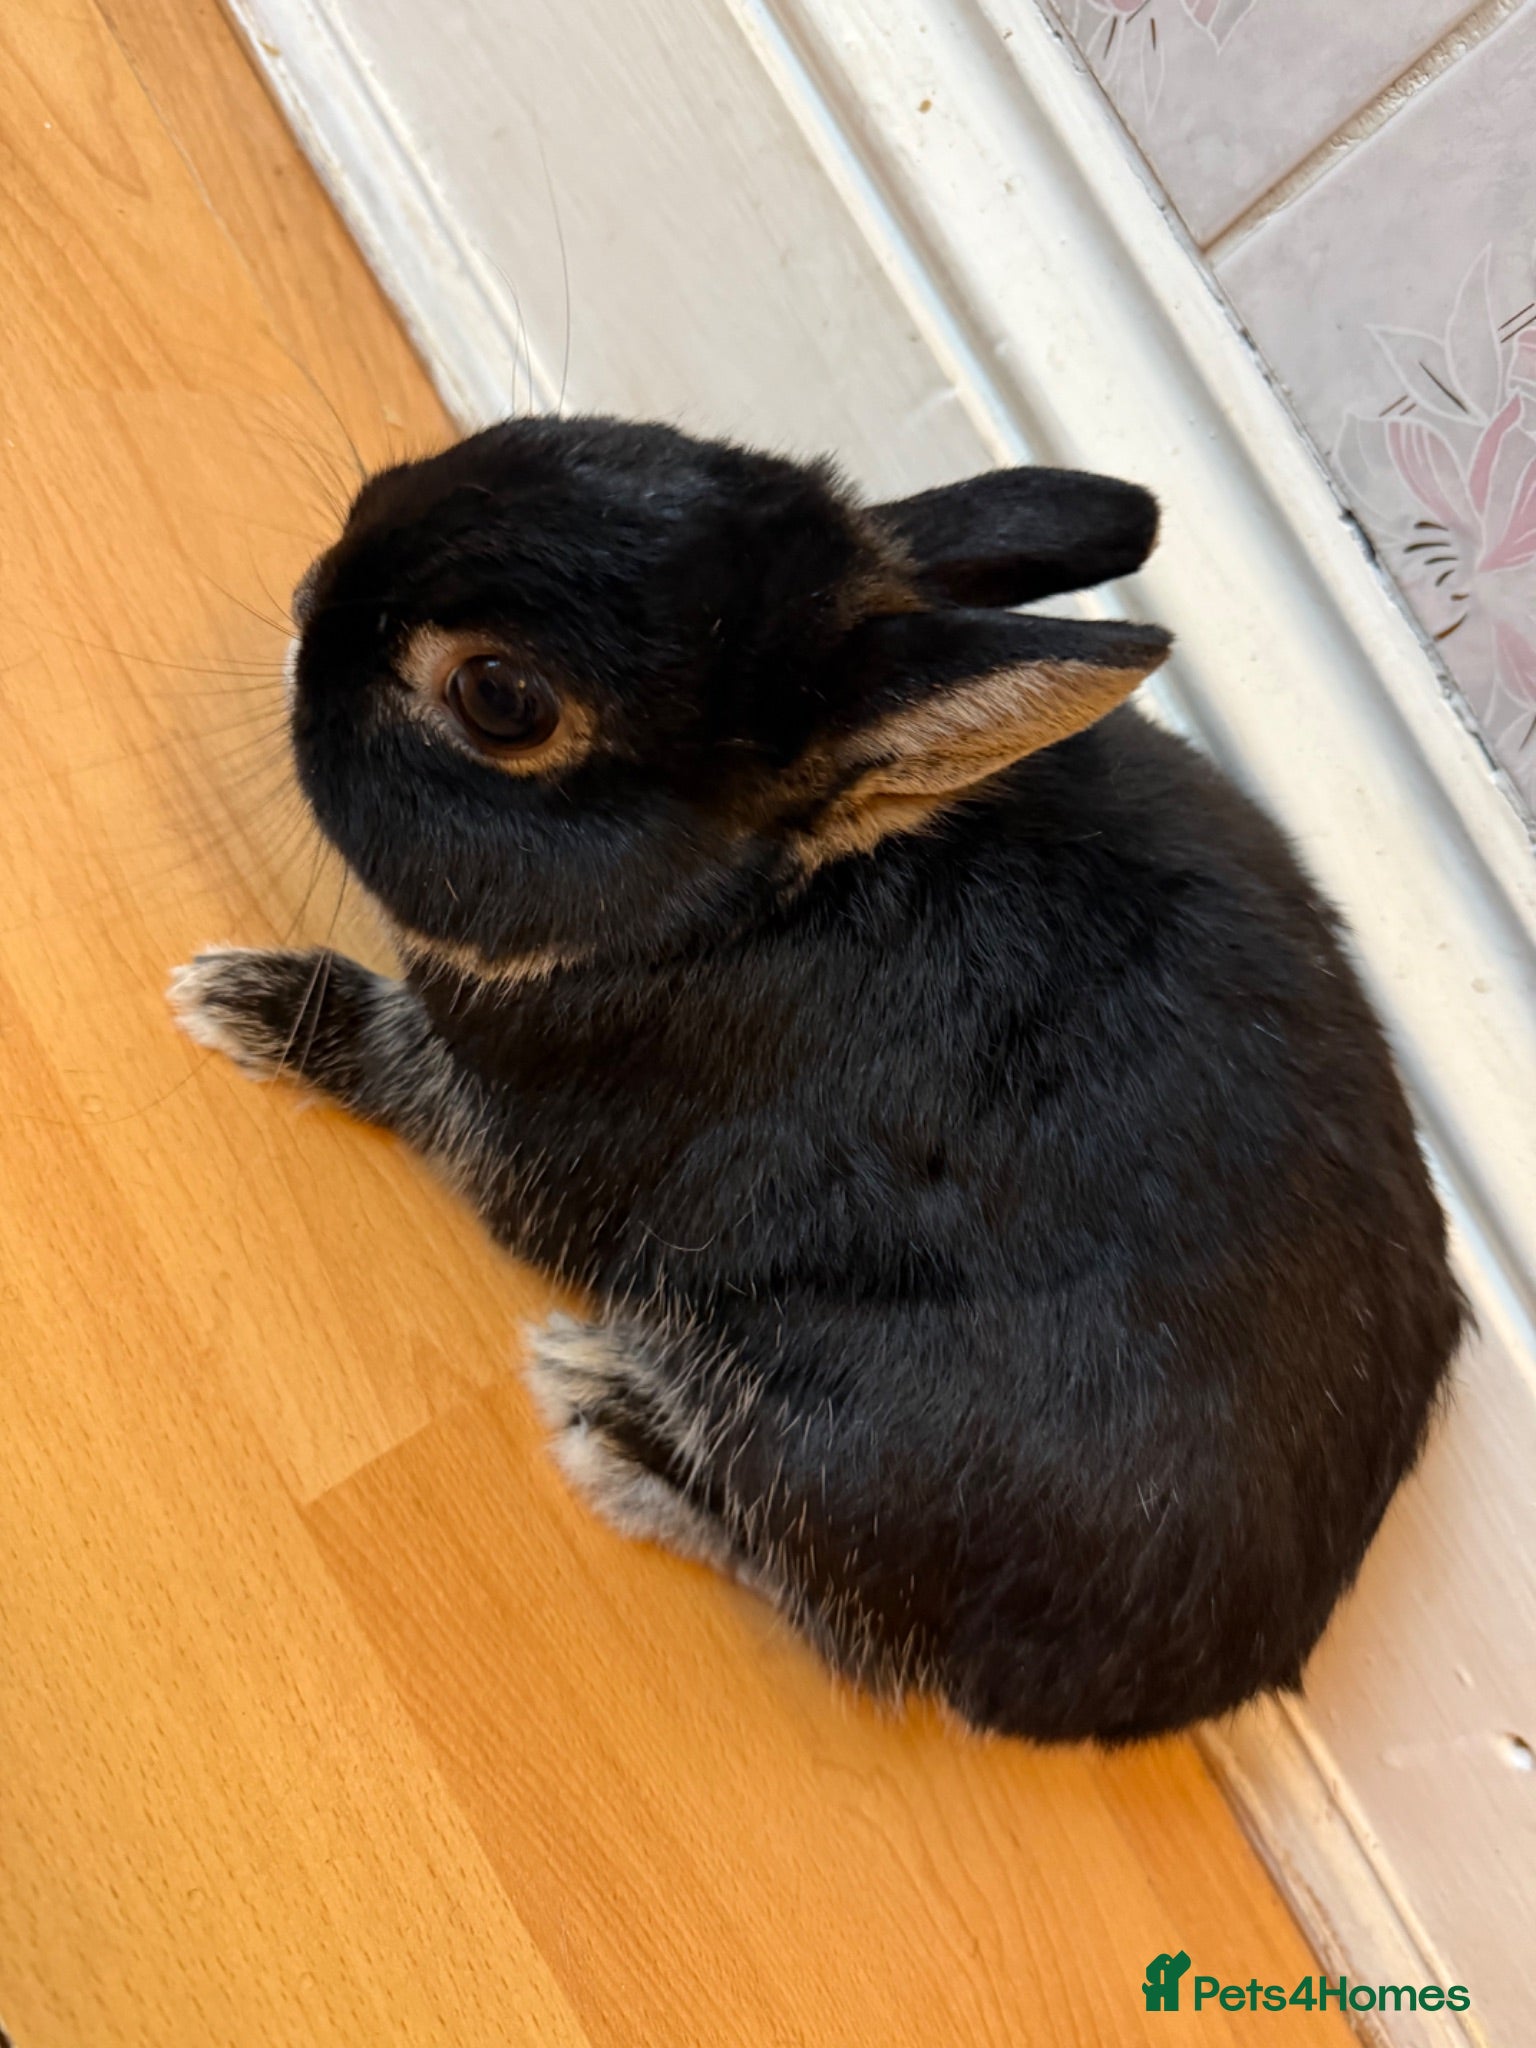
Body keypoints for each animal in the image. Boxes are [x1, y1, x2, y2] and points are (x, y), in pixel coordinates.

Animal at [170, 417, 1464, 1743]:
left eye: (498, 699)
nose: (309, 602)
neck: (746, 904)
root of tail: (1196, 1681)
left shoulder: (533, 1129)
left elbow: (403, 1066)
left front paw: (239, 999)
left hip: (829, 1423)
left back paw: (608, 1416)